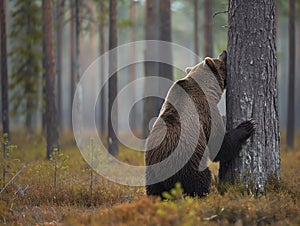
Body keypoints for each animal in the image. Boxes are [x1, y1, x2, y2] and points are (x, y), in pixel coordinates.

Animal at [145, 50, 255, 198]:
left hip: (151, 172)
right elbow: (218, 144)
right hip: (188, 161)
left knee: (154, 192)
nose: (224, 52)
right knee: (199, 181)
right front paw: (246, 126)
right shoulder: (206, 111)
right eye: (221, 60)